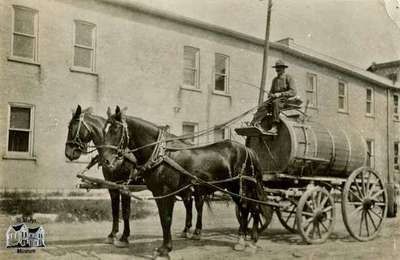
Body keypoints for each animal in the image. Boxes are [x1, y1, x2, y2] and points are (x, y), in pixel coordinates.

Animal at [64, 104, 133, 247]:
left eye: (72, 127)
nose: (68, 153)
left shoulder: (125, 186)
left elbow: (126, 211)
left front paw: (125, 237)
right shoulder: (112, 186)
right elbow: (114, 210)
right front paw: (112, 235)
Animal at [101, 106, 268, 258]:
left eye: (116, 129)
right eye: (104, 130)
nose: (106, 160)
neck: (162, 155)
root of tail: (247, 150)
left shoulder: (166, 193)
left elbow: (166, 219)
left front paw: (165, 249)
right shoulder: (158, 193)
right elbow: (163, 219)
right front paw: (162, 248)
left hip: (239, 187)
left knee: (247, 208)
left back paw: (244, 241)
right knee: (251, 208)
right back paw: (250, 239)